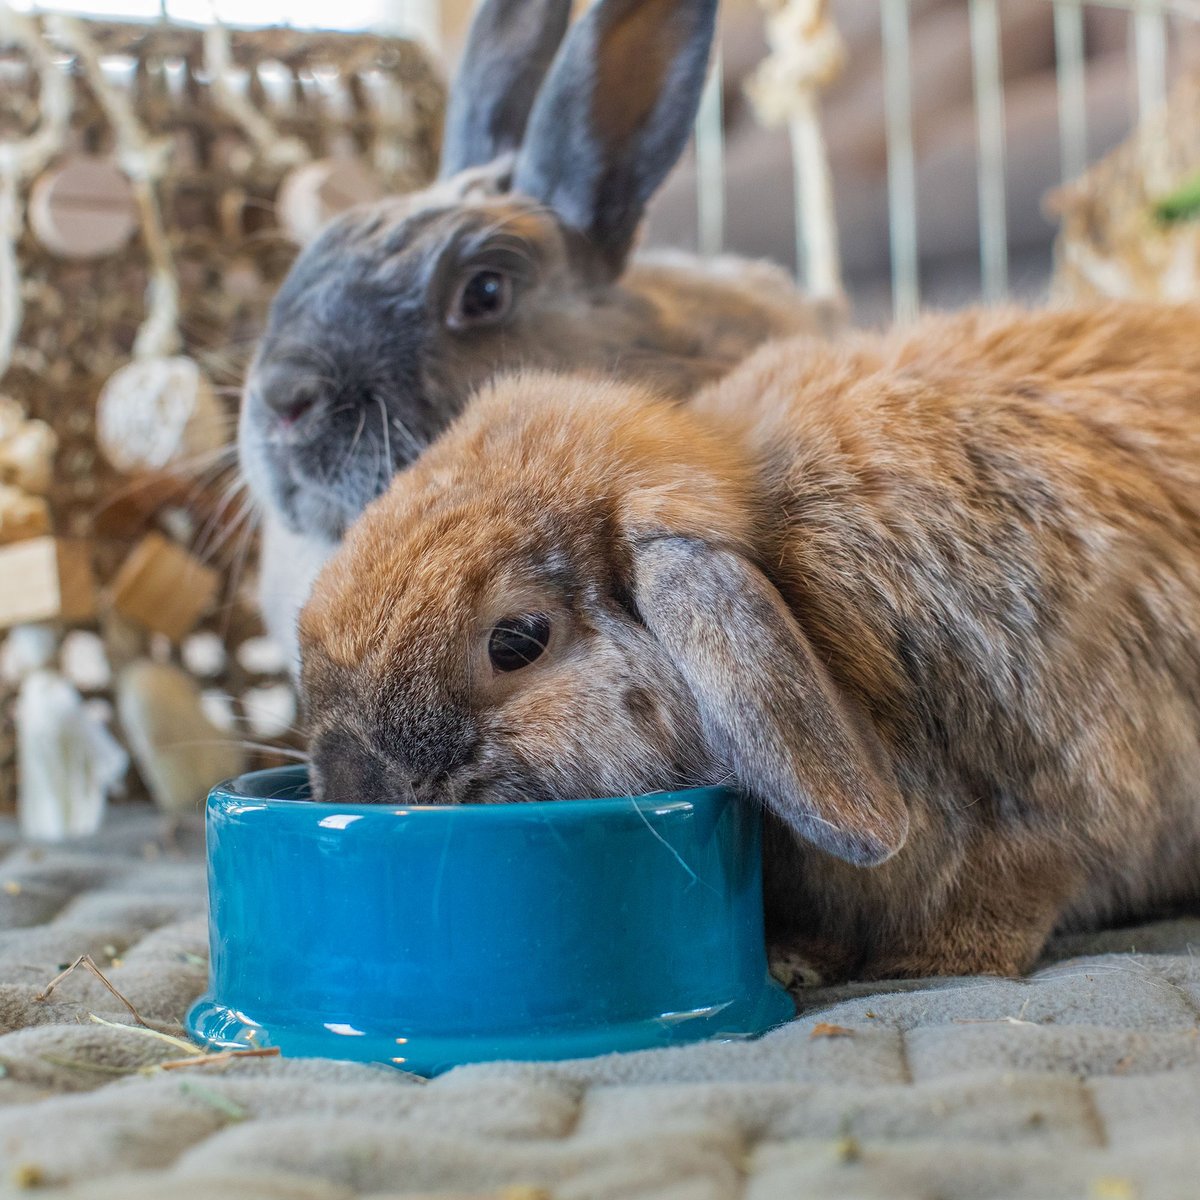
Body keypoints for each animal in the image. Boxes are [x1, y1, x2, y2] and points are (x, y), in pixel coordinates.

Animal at [295, 304, 1200, 979]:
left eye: (517, 641)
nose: (349, 782)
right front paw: (799, 960)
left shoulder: (1060, 808)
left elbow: (1013, 888)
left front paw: (925, 965)